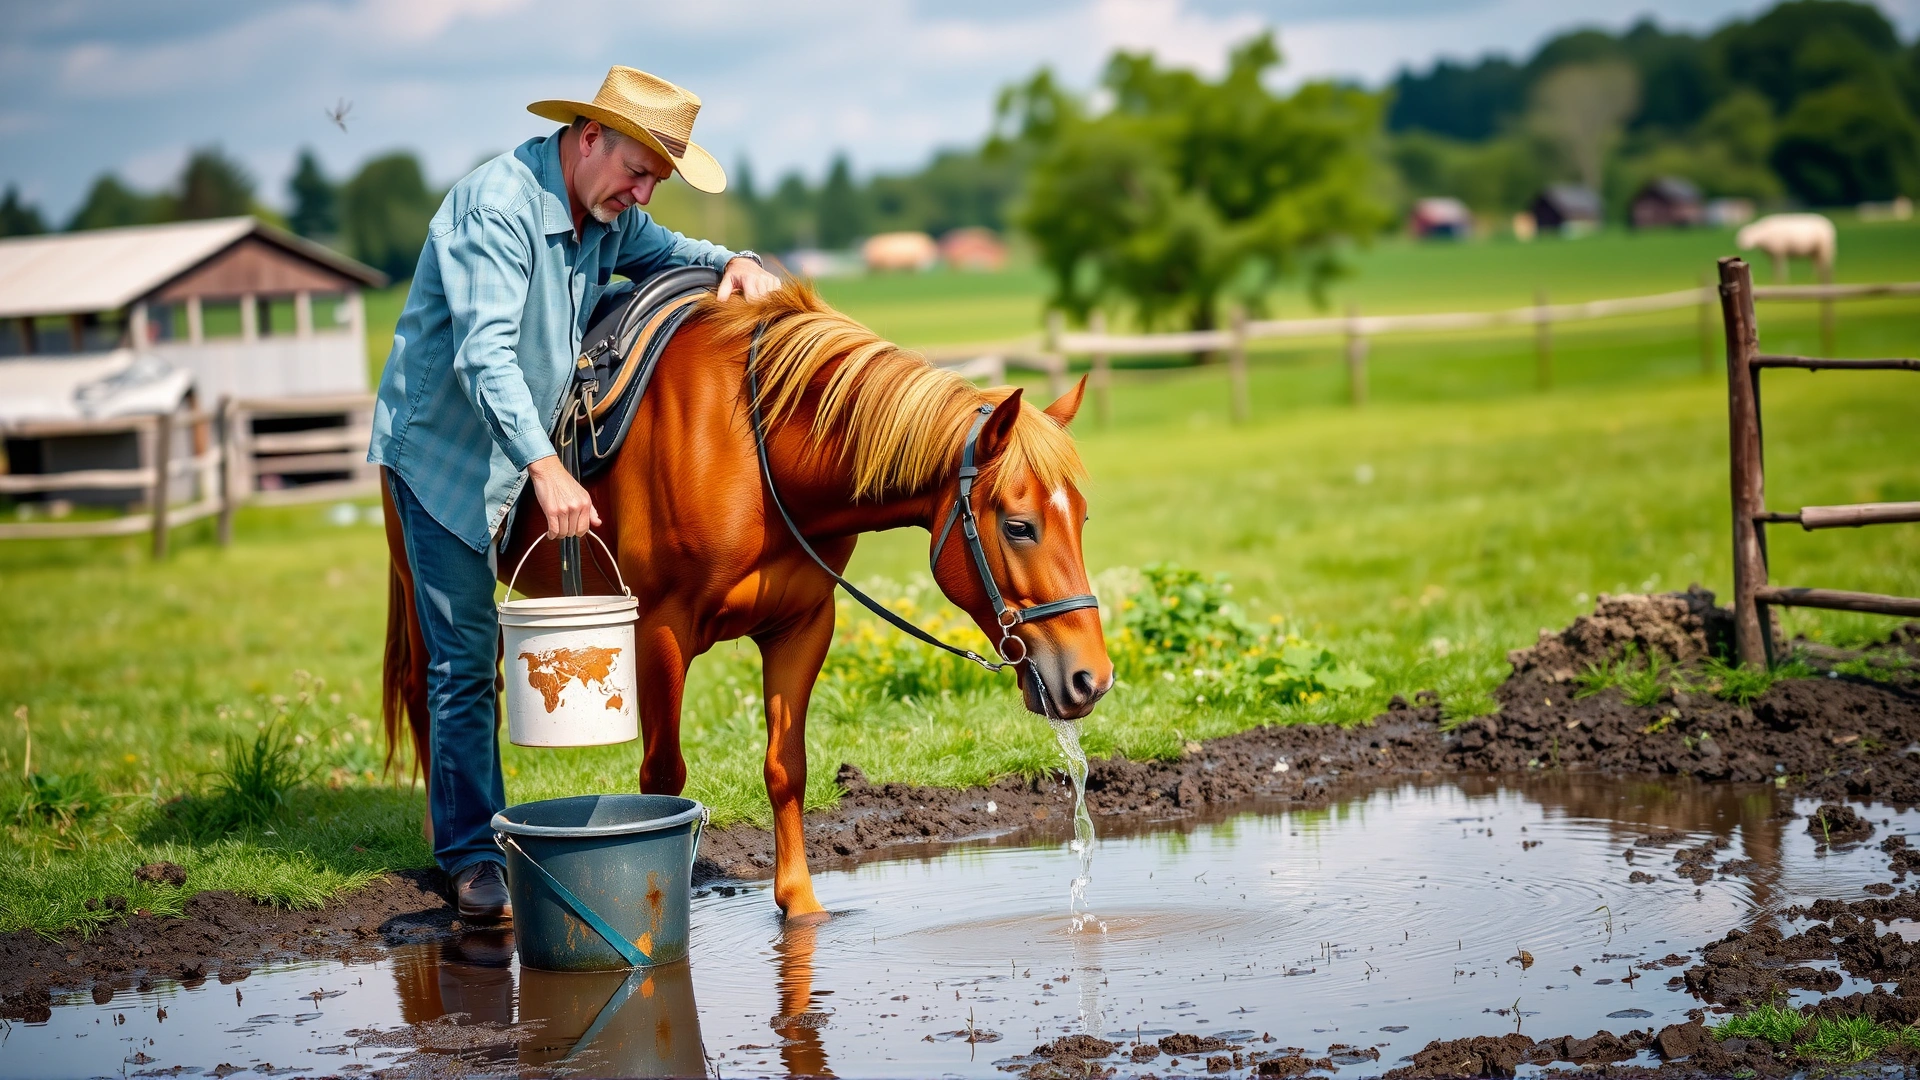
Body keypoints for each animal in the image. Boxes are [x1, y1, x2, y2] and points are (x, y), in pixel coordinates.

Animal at [381, 281, 1114, 919]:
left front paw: (801, 905)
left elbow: (787, 768)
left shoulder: (803, 626)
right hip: (428, 584)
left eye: (1083, 518)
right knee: (436, 695)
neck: (756, 457)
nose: (1092, 678)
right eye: (1018, 525)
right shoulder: (661, 632)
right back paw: (457, 858)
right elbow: (662, 778)